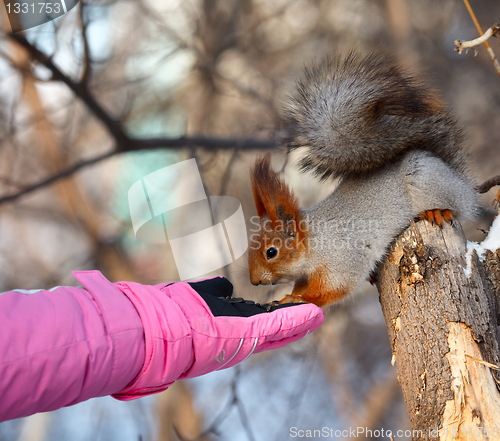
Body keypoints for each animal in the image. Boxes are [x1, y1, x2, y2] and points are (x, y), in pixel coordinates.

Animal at [248, 52, 478, 306]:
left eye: (271, 252)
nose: (254, 281)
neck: (313, 240)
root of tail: (454, 175)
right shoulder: (308, 272)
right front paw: (288, 296)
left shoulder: (341, 259)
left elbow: (333, 288)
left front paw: (299, 299)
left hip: (427, 179)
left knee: (459, 206)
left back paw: (437, 211)